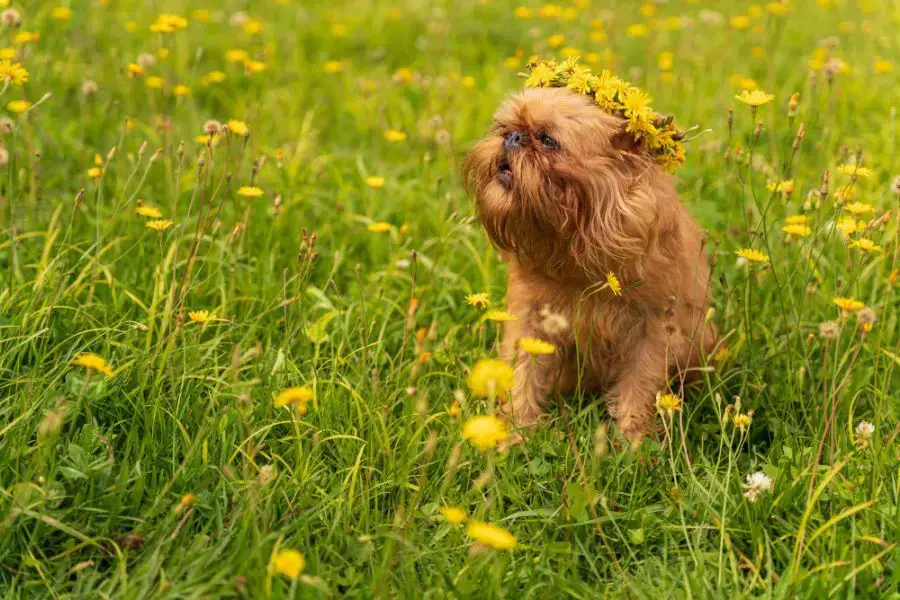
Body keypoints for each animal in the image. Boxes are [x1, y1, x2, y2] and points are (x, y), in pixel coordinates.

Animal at [464, 86, 716, 440]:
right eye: (504, 128)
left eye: (547, 140)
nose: (512, 137)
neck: (576, 236)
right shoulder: (531, 320)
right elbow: (524, 373)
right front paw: (517, 431)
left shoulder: (651, 329)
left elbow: (639, 384)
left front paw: (632, 439)